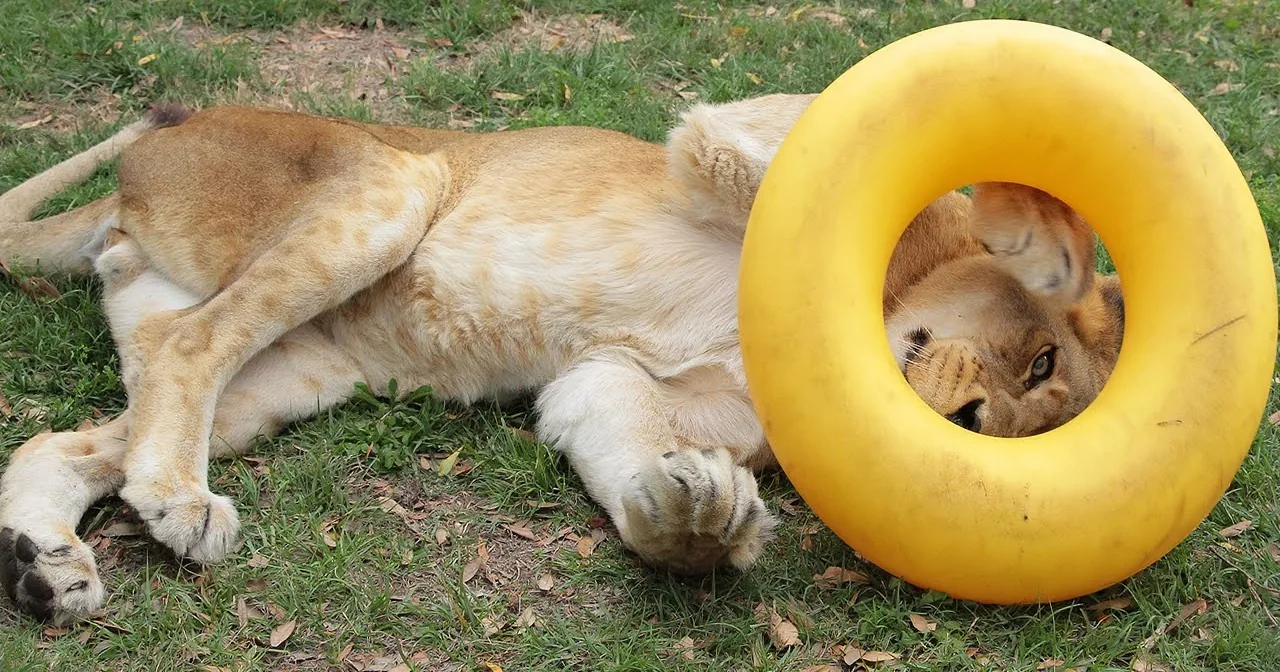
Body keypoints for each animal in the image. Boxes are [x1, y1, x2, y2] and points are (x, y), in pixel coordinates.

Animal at [0, 93, 1124, 623]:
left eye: (1037, 420)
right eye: (1035, 366)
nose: (974, 427)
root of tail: (132, 180)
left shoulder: (620, 381)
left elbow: (625, 438)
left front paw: (697, 527)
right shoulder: (734, 136)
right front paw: (1048, 243)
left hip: (291, 372)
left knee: (79, 430)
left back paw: (46, 569)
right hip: (392, 184)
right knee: (192, 343)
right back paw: (179, 504)